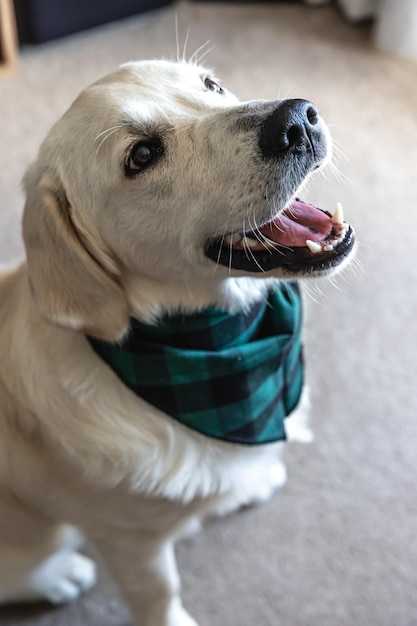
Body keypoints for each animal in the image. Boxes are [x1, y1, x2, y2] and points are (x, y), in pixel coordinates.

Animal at [0, 59, 354, 624]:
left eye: (211, 85)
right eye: (142, 156)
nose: (297, 119)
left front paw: (251, 481)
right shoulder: (128, 538)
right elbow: (159, 593)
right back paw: (58, 576)